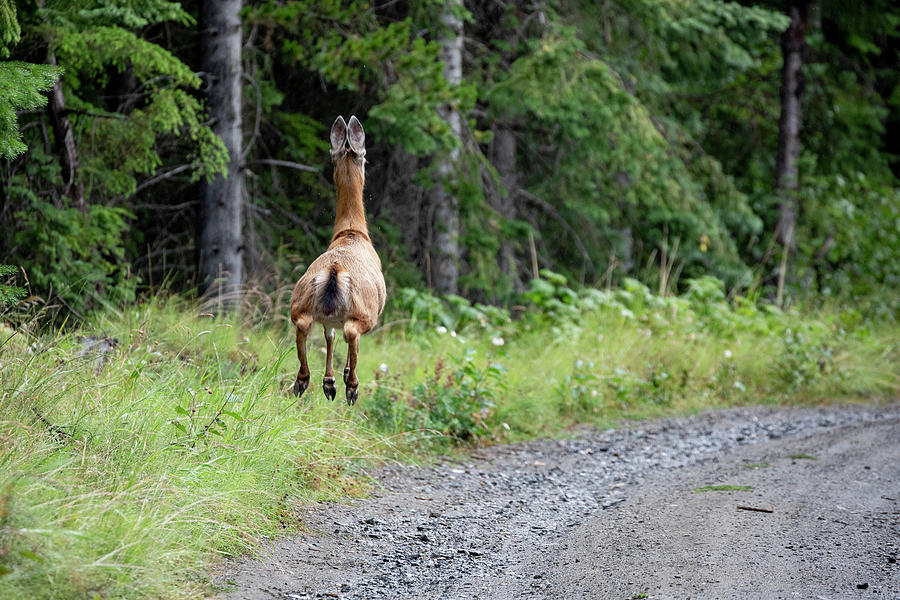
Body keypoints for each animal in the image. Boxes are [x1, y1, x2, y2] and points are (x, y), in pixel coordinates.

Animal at [290, 115, 384, 406]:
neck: (352, 231)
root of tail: (334, 269)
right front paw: (338, 379)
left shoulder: (328, 319)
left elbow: (328, 337)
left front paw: (329, 382)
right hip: (366, 311)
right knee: (352, 332)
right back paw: (351, 387)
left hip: (300, 300)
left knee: (304, 325)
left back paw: (302, 381)